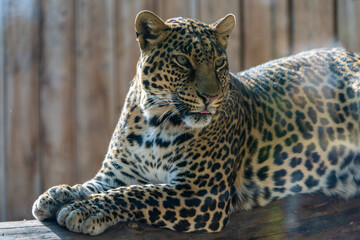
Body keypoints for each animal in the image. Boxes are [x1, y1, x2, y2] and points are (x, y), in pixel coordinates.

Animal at [31, 10, 360, 234]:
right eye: (183, 61)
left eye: (220, 63)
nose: (209, 97)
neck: (157, 121)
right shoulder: (118, 173)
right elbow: (92, 185)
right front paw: (57, 194)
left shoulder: (201, 193)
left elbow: (137, 194)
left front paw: (86, 210)